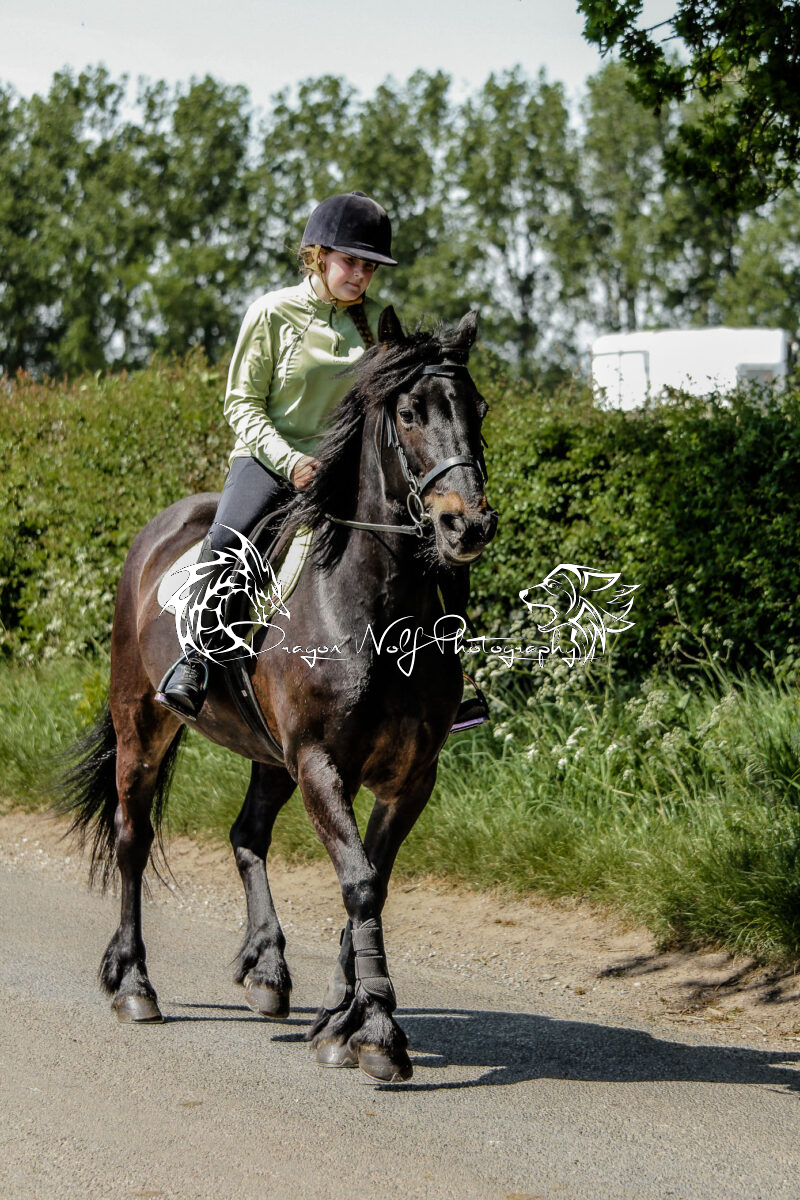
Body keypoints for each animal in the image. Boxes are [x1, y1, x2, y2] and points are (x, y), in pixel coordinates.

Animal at [56, 306, 497, 1084]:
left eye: (478, 409)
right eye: (410, 412)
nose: (465, 525)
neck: (375, 609)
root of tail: (156, 532)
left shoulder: (411, 776)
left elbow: (372, 880)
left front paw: (340, 1021)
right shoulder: (321, 763)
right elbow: (359, 882)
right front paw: (376, 1032)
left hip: (269, 755)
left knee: (246, 835)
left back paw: (266, 969)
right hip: (142, 724)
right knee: (133, 838)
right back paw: (135, 984)